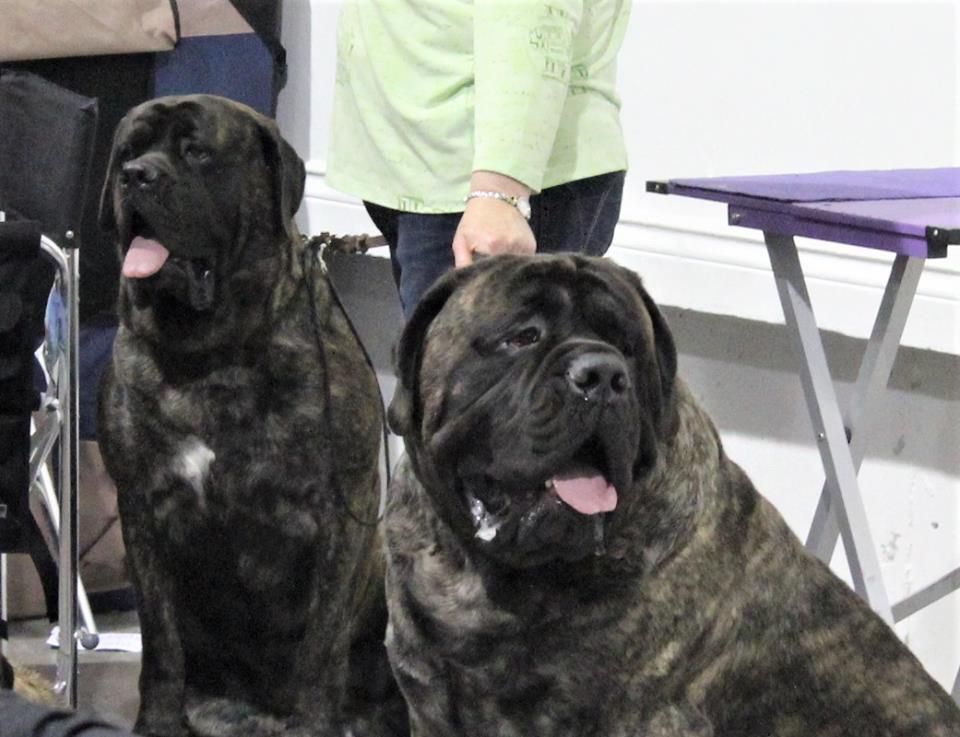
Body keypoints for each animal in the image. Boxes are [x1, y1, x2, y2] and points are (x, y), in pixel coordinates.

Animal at [97, 95, 404, 737]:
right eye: (128, 152)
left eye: (197, 152)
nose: (137, 177)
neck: (212, 353)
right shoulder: (140, 504)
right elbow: (160, 640)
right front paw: (157, 720)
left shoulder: (340, 510)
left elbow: (321, 646)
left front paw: (315, 721)